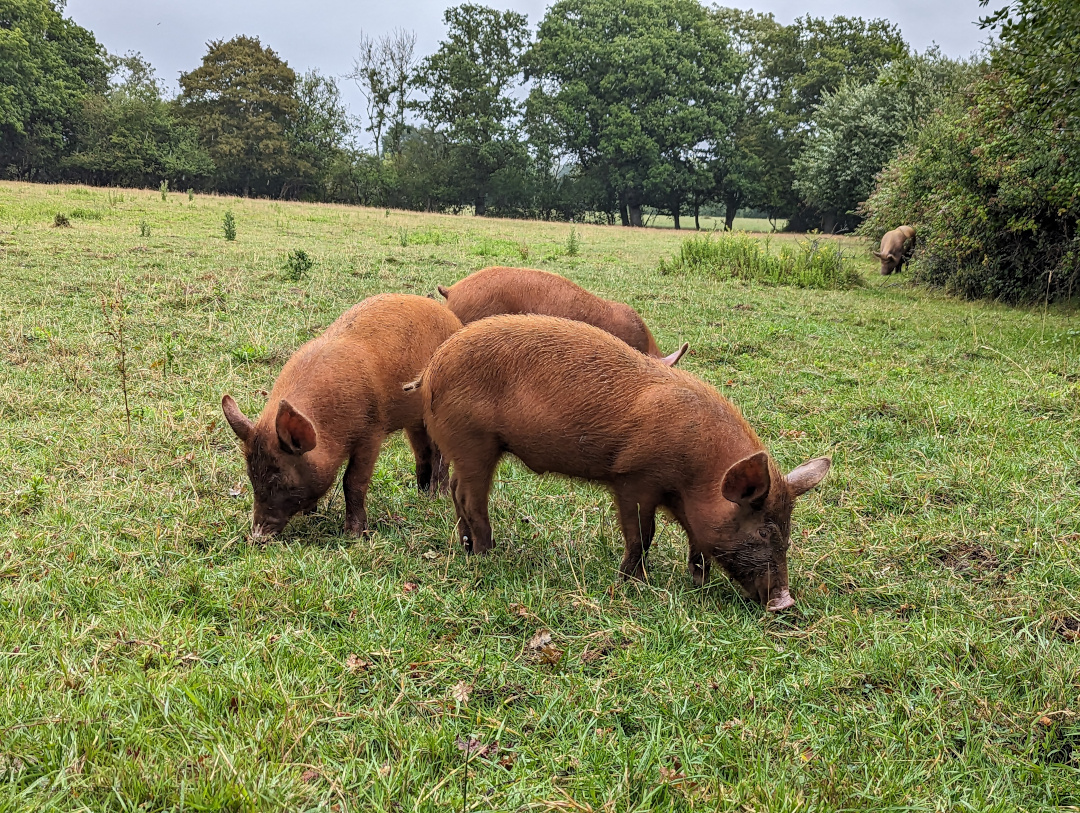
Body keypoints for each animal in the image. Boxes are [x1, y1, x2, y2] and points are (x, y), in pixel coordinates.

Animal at [221, 293, 462, 539]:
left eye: (280, 478)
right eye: (251, 476)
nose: (257, 536)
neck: (328, 427)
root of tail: (452, 318)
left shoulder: (371, 431)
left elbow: (353, 481)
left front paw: (354, 534)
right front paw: (312, 515)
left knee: (440, 453)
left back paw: (437, 496)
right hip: (414, 419)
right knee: (422, 451)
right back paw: (421, 492)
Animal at [408, 313, 829, 613]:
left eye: (787, 533)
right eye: (763, 530)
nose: (784, 601)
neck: (699, 472)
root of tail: (431, 368)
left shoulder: (684, 502)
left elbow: (696, 538)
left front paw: (698, 582)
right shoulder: (634, 478)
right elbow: (643, 534)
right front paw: (633, 583)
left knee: (458, 493)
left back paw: (468, 546)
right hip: (473, 442)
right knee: (470, 496)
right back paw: (487, 553)